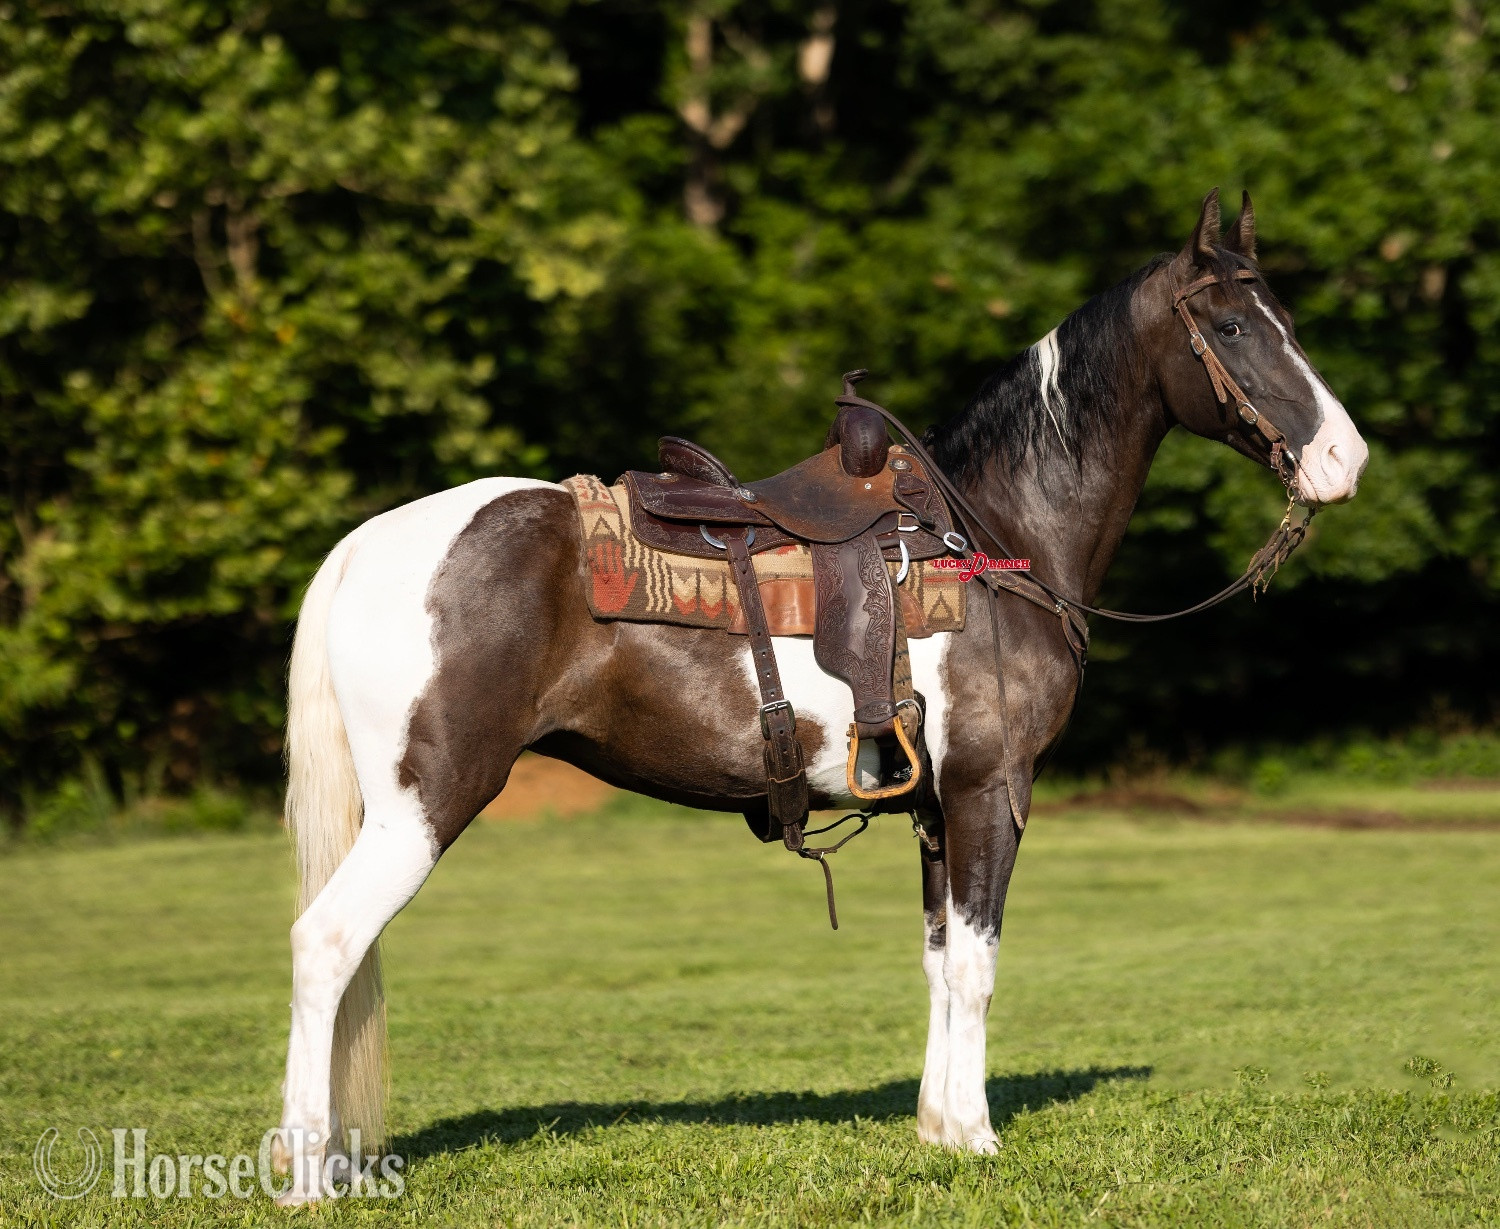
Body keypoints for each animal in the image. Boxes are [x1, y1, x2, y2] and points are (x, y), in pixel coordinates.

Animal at [271, 189, 1368, 1202]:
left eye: (1286, 318)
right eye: (1232, 326)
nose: (1343, 458)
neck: (994, 536)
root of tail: (366, 542)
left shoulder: (936, 806)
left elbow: (937, 956)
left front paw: (937, 1127)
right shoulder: (990, 790)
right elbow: (976, 963)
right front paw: (978, 1137)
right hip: (425, 802)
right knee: (325, 943)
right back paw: (308, 1171)